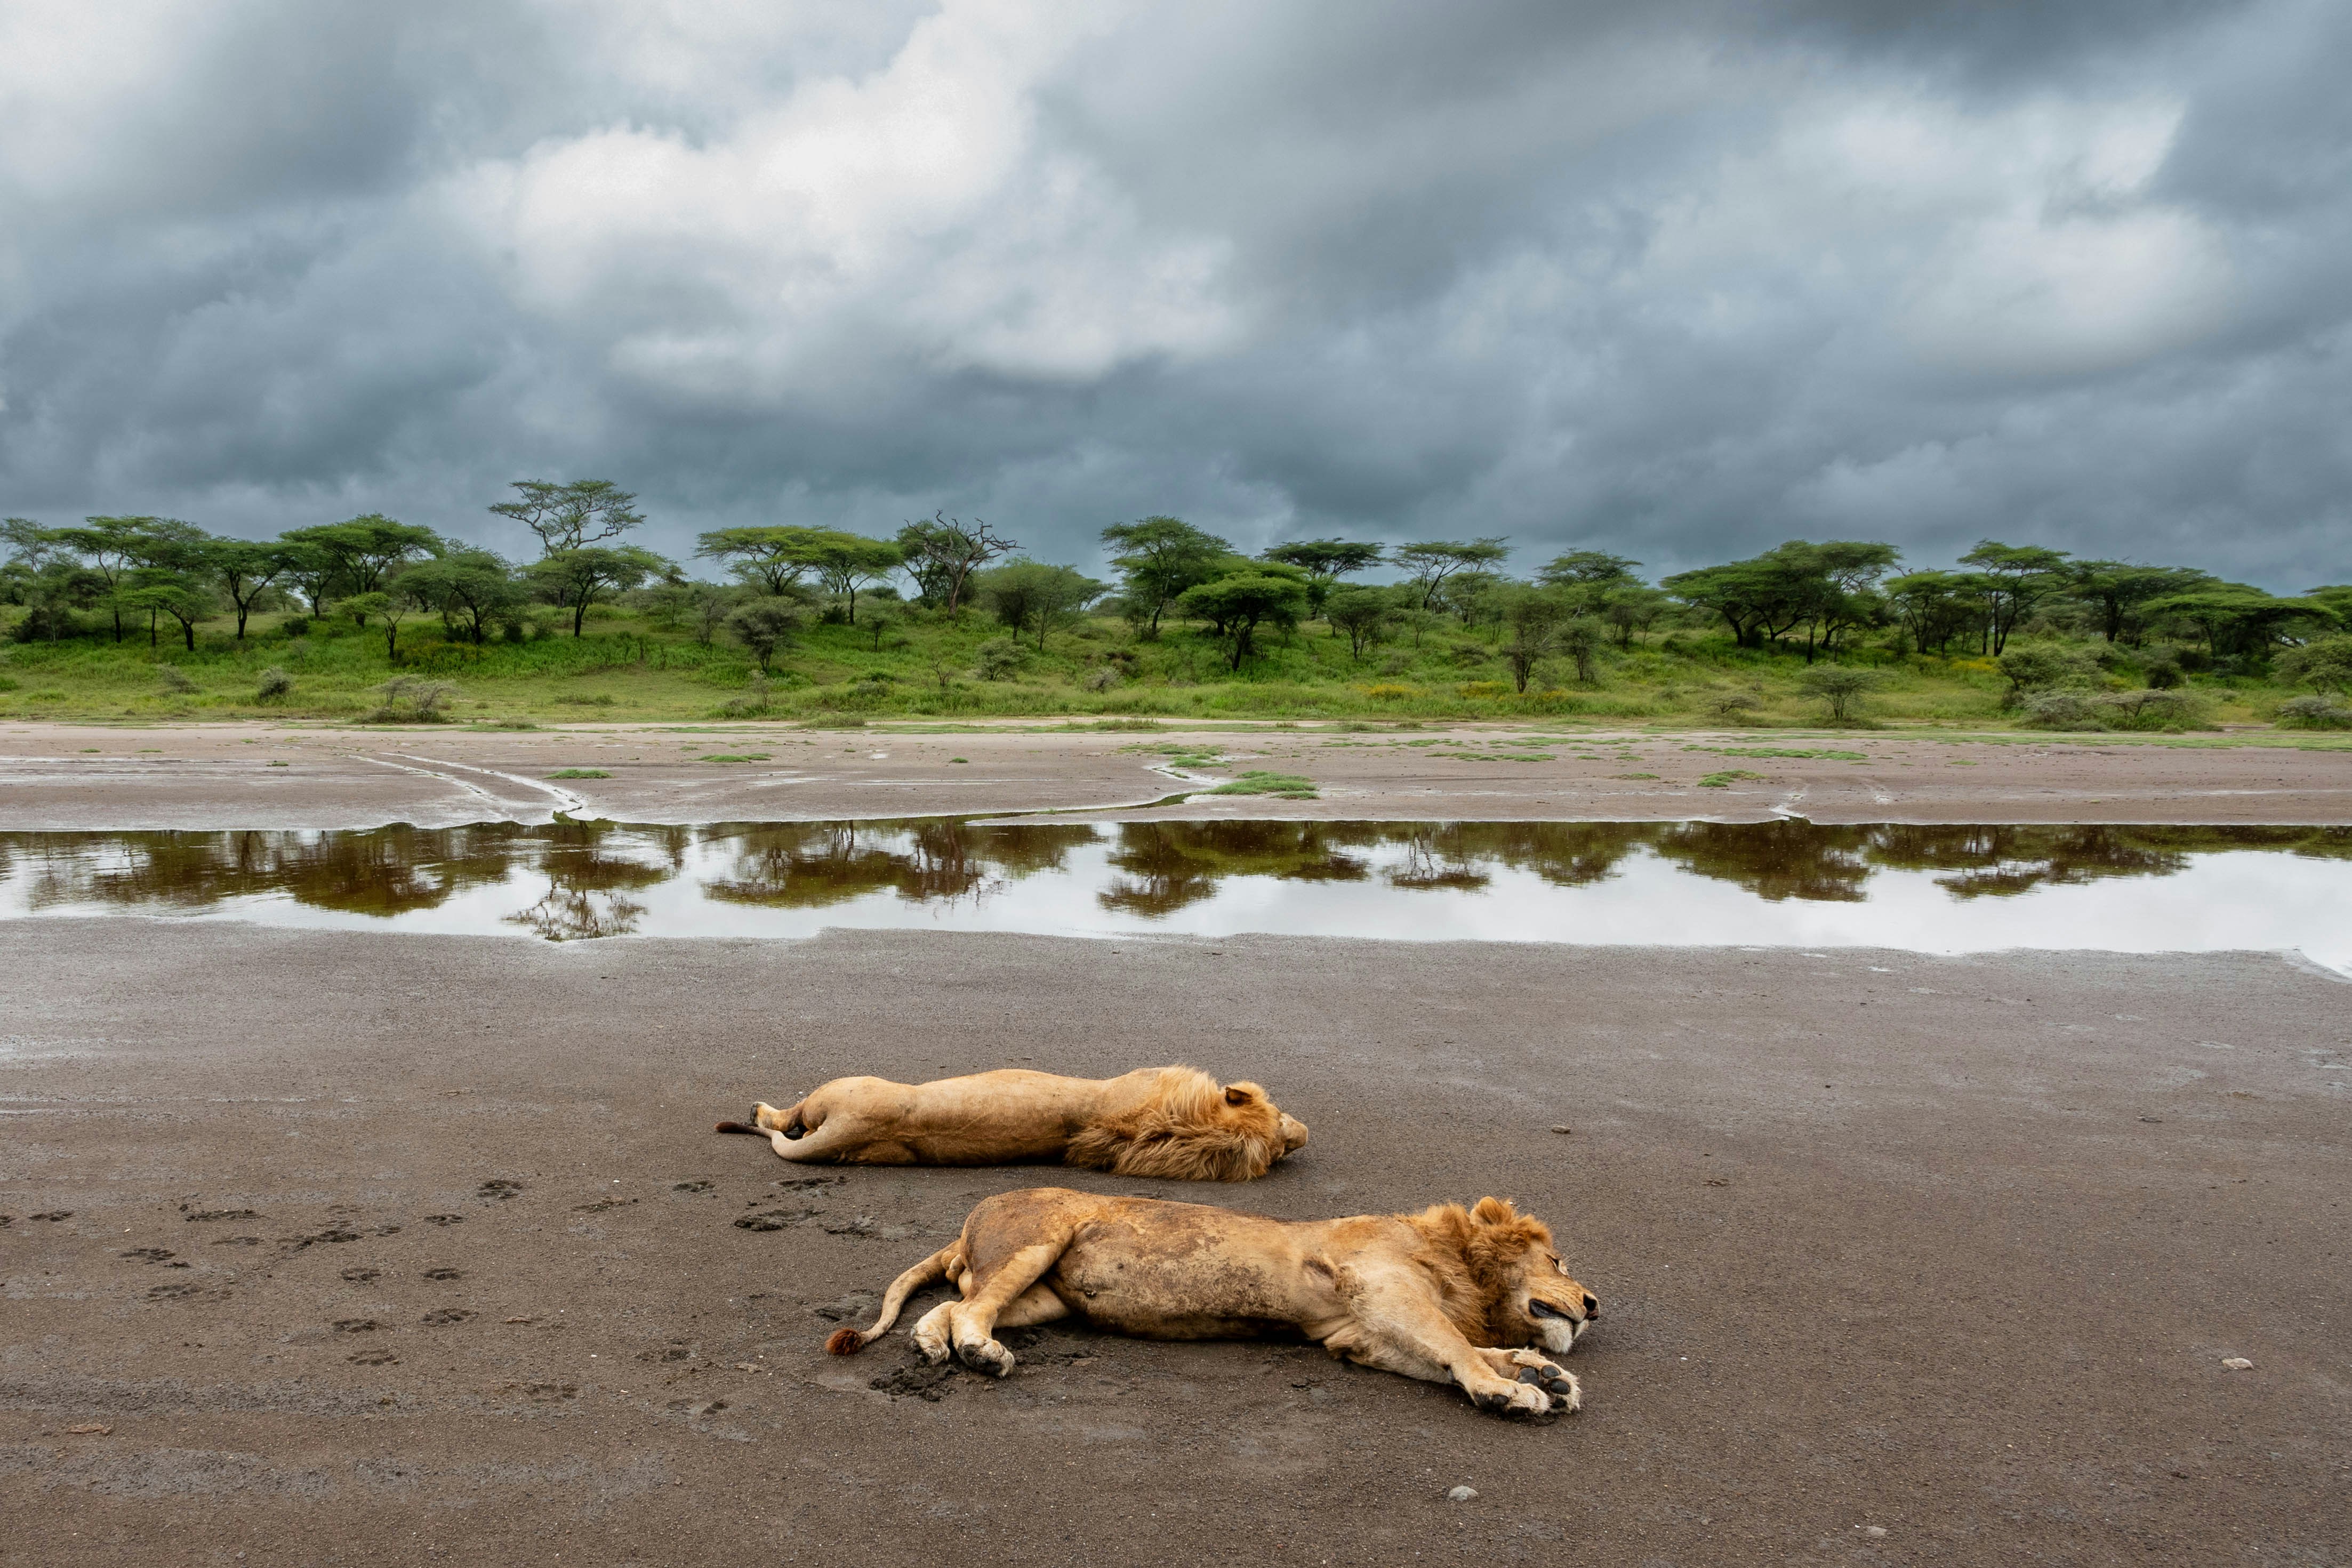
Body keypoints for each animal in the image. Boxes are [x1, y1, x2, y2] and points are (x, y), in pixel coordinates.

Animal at [823, 1189, 1599, 1420]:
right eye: (1559, 1261)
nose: (1594, 1304)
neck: (1455, 1262)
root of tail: (967, 1221)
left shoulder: (1354, 1332)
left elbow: (1456, 1349)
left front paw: (1540, 1373)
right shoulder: (1384, 1286)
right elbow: (1455, 1344)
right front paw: (1509, 1388)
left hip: (1045, 1299)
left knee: (950, 1309)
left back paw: (937, 1349)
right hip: (1035, 1243)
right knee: (969, 1312)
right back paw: (980, 1356)